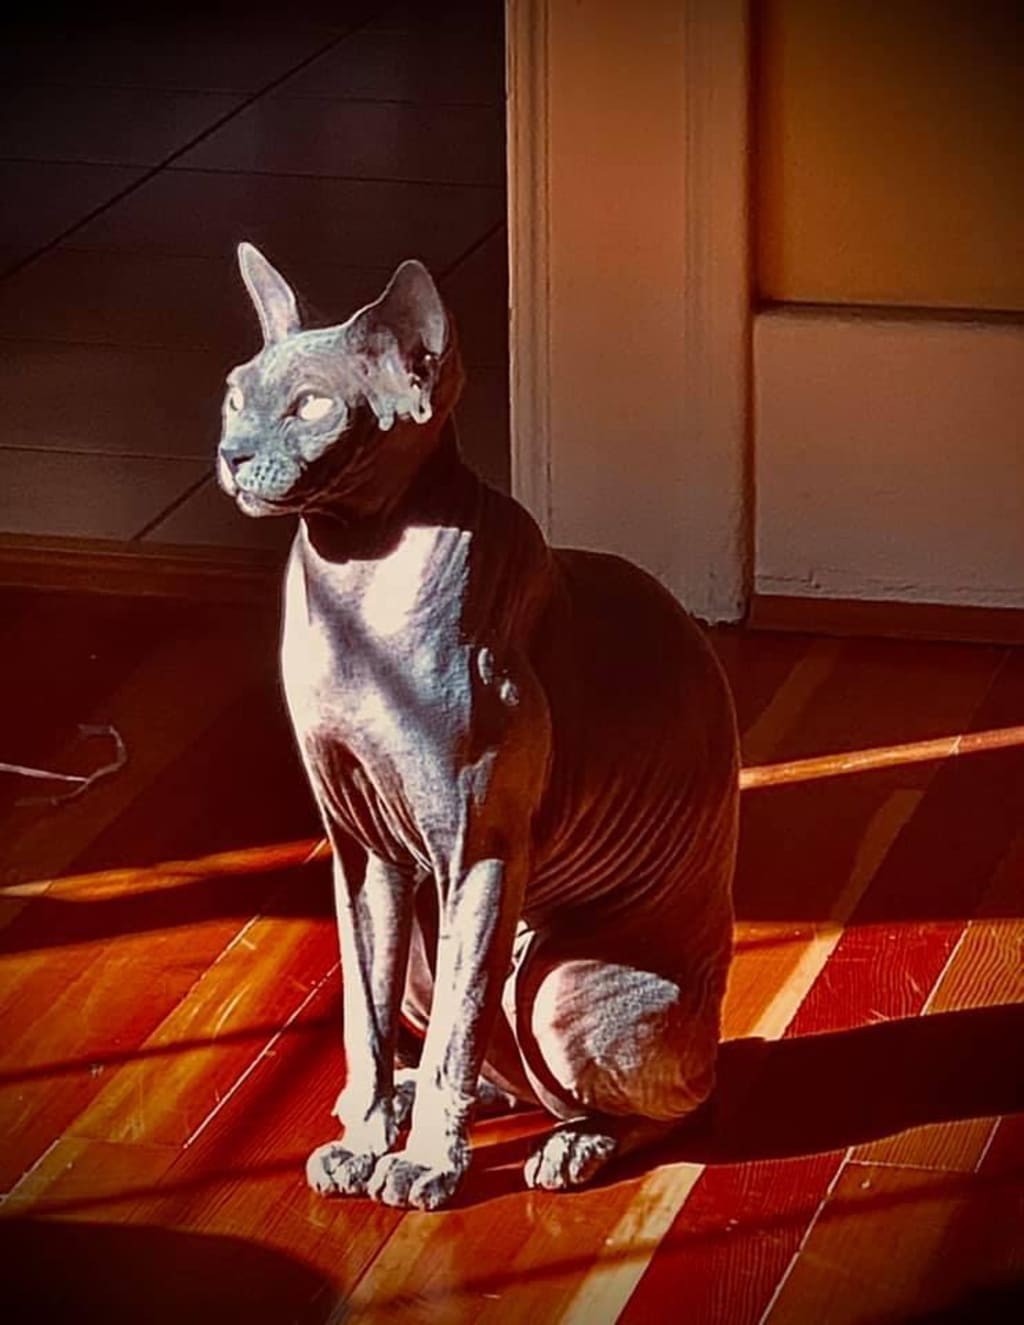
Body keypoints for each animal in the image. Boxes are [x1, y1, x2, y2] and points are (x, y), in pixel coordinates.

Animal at [217, 243, 739, 1210]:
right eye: (234, 395)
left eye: (310, 405)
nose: (230, 456)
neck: (355, 578)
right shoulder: (365, 850)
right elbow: (363, 1016)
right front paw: (367, 1135)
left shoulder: (481, 850)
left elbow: (456, 1033)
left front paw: (425, 1162)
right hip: (435, 936)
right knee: (488, 1065)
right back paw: (398, 1106)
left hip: (553, 982)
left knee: (668, 1097)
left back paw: (572, 1144)